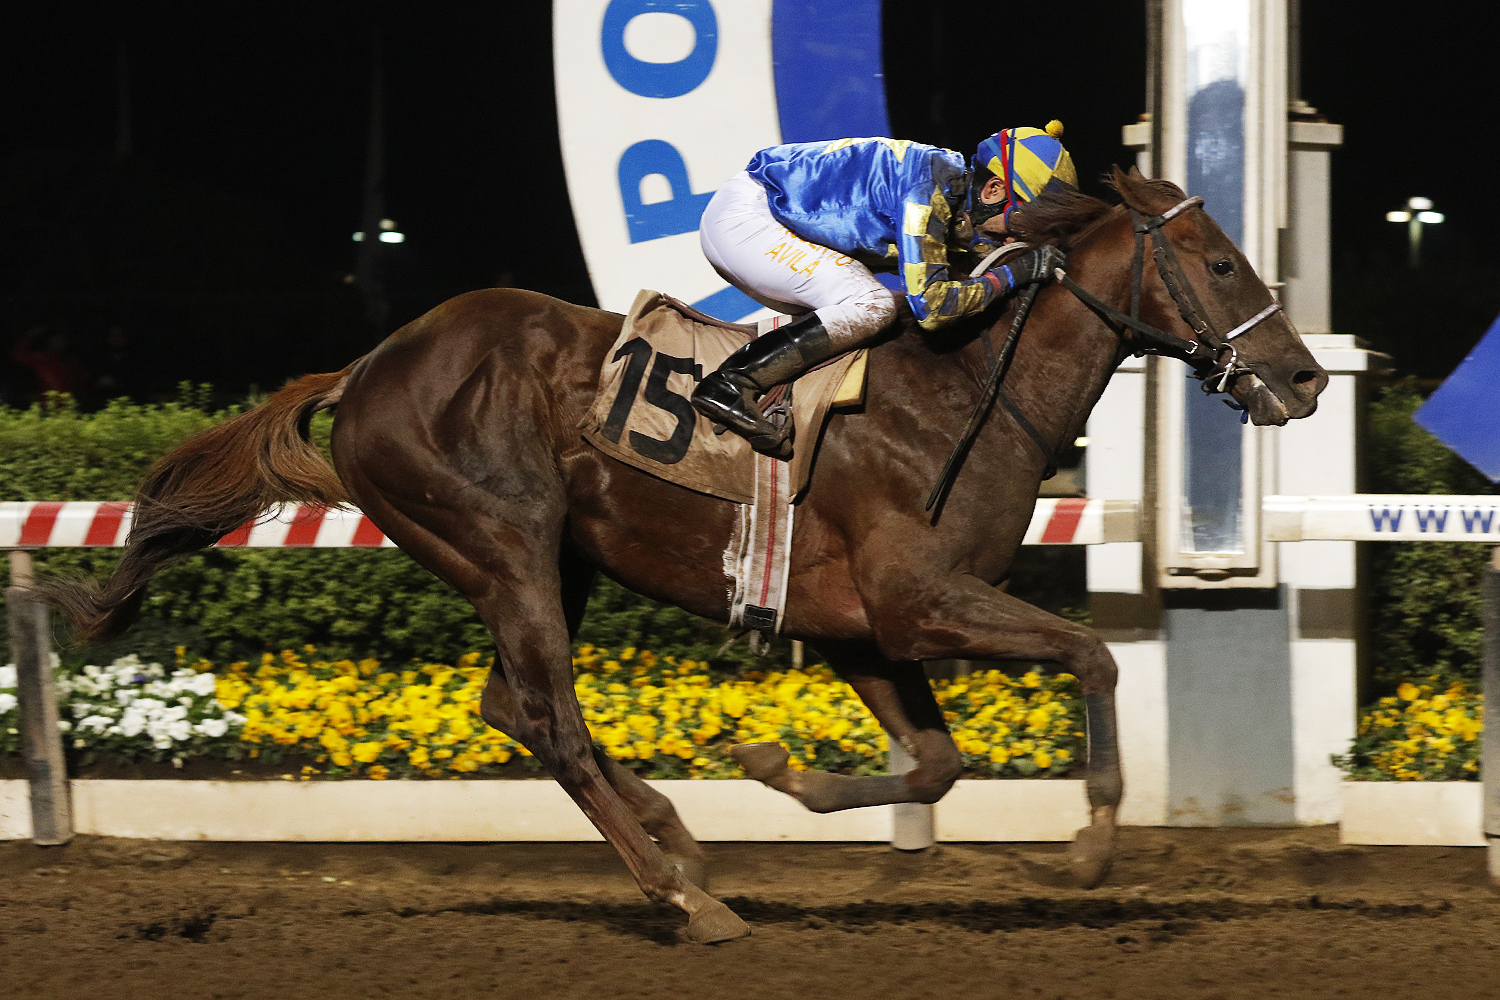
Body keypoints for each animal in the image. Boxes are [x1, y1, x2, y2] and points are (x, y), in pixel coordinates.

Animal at [41, 167, 1327, 943]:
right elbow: (1091, 660)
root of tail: (365, 368)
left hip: (549, 558)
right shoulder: (918, 597)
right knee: (548, 717)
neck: (959, 388)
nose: (1306, 378)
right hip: (503, 541)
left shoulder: (862, 625)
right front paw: (1094, 845)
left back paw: (679, 838)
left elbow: (934, 764)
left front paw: (776, 769)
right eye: (1220, 263)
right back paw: (681, 894)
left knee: (512, 704)